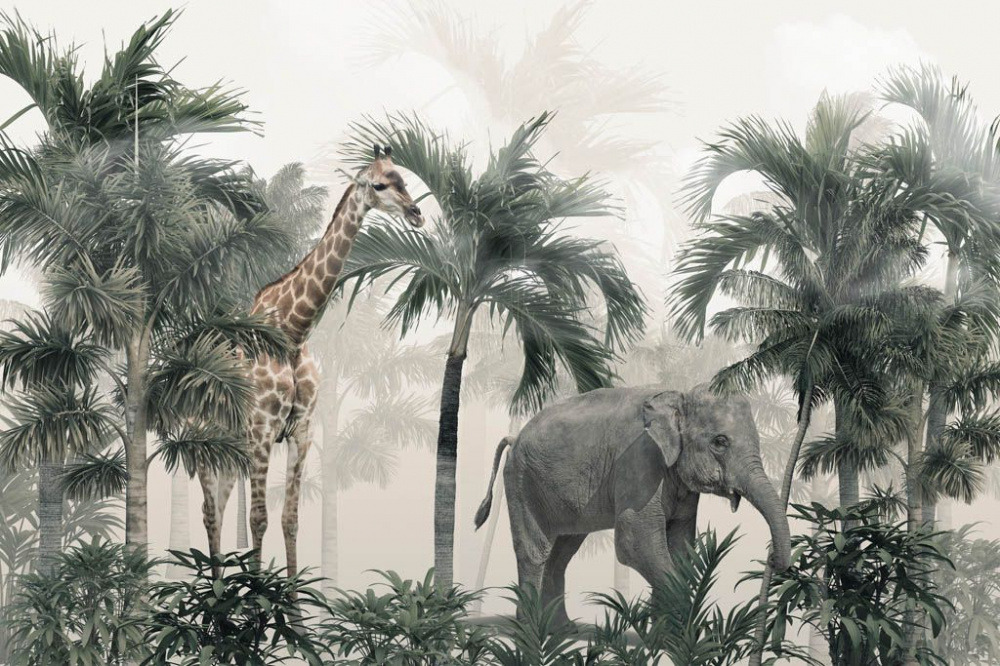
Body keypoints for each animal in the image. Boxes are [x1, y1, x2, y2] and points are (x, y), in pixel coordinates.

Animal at [197, 145, 424, 577]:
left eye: (404, 179)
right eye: (378, 185)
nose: (416, 214)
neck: (293, 332)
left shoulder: (301, 430)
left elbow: (290, 519)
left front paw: (293, 598)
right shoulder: (262, 429)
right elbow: (258, 518)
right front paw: (258, 597)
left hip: (229, 447)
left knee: (218, 504)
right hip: (200, 439)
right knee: (209, 511)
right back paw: (212, 594)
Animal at [474, 386, 791, 625]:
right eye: (720, 442)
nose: (772, 561)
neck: (679, 393)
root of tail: (514, 437)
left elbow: (680, 545)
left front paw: (661, 634)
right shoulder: (639, 461)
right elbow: (636, 542)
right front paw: (683, 634)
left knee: (561, 552)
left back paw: (561, 631)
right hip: (522, 483)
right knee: (536, 551)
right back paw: (530, 631)